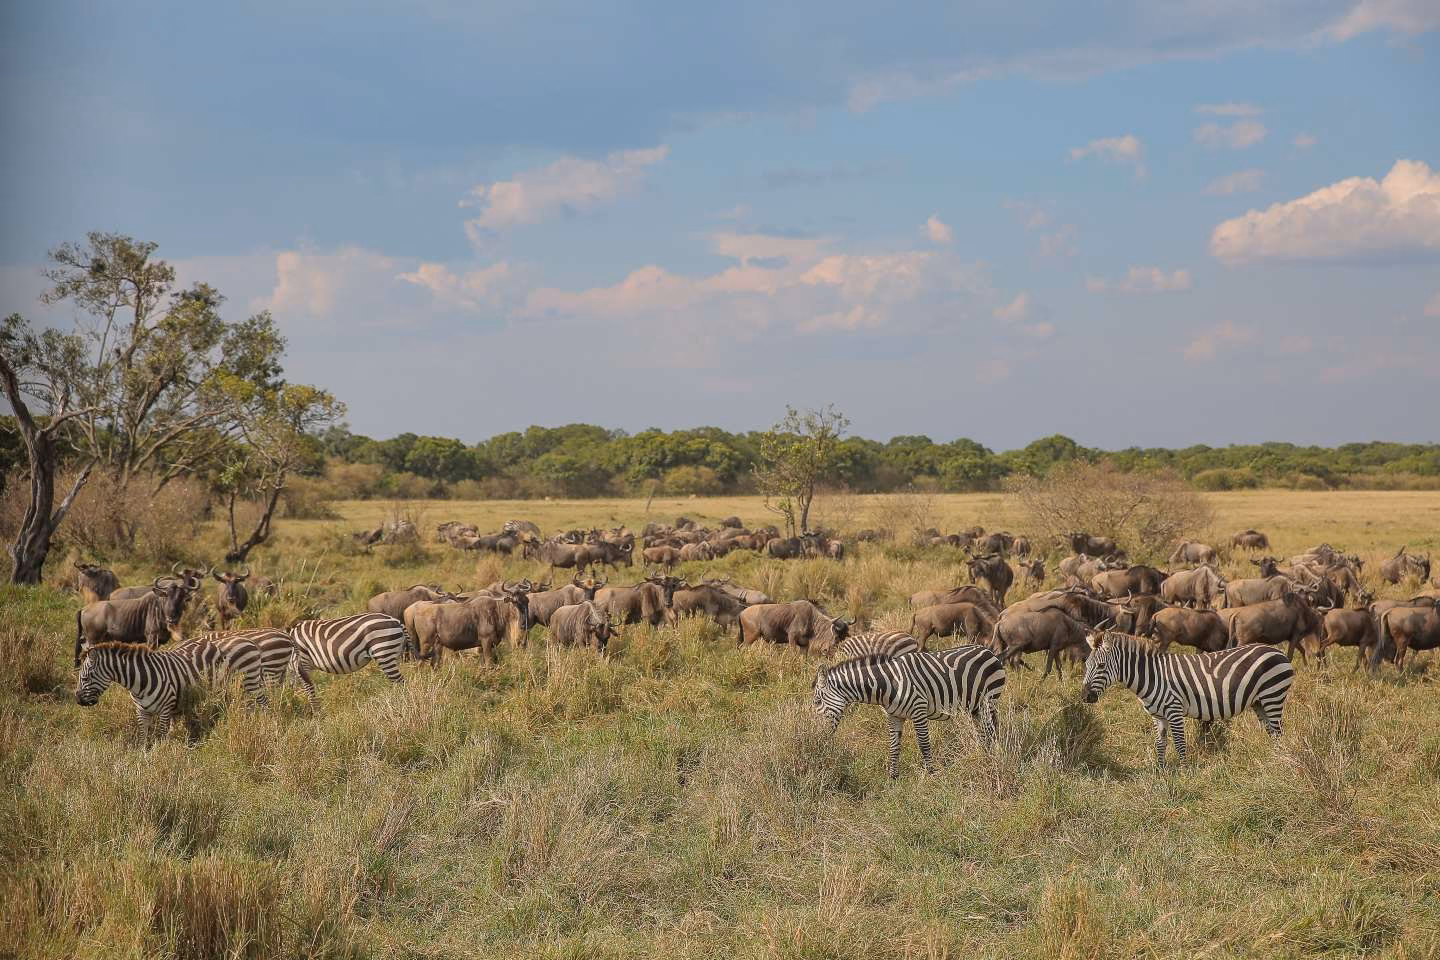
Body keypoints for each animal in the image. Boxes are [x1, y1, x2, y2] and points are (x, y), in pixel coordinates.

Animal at [74, 640, 264, 744]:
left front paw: (161, 755)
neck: (139, 682)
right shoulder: (142, 711)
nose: (77, 700)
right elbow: (142, 736)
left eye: (85, 678)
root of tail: (208, 642)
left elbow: (160, 735)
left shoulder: (165, 710)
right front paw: (142, 758)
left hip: (219, 688)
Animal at [812, 644, 1007, 777]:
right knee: (982, 733)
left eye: (817, 701)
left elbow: (924, 744)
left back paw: (994, 758)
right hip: (974, 708)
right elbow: (894, 746)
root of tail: (988, 651)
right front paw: (893, 777)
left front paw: (932, 774)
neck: (888, 683)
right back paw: (984, 756)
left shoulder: (918, 710)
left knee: (992, 731)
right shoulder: (894, 716)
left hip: (989, 701)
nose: (816, 737)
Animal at [1080, 631, 1295, 766]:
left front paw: (1185, 773)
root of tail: (1278, 652)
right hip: (1259, 702)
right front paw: (1161, 771)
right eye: (1086, 665)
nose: (1084, 697)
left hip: (1273, 695)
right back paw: (1273, 760)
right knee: (1273, 733)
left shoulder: (1174, 710)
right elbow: (1160, 744)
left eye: (1100, 666)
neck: (1153, 675)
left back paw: (1278, 763)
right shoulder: (1158, 716)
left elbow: (1179, 743)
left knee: (1278, 732)